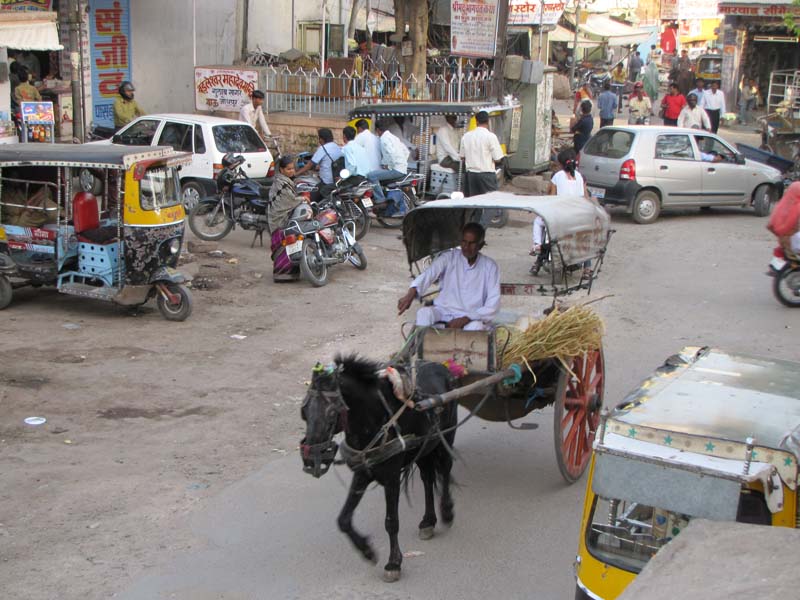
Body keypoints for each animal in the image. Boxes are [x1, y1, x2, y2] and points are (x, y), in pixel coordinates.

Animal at [300, 356, 460, 580]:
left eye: (331, 413)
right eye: (303, 412)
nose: (309, 458)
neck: (375, 418)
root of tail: (440, 365)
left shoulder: (391, 477)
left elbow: (391, 521)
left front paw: (393, 563)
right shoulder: (362, 472)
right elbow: (343, 519)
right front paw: (366, 551)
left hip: (446, 436)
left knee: (445, 469)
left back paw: (446, 512)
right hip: (423, 447)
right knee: (428, 478)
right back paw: (428, 522)